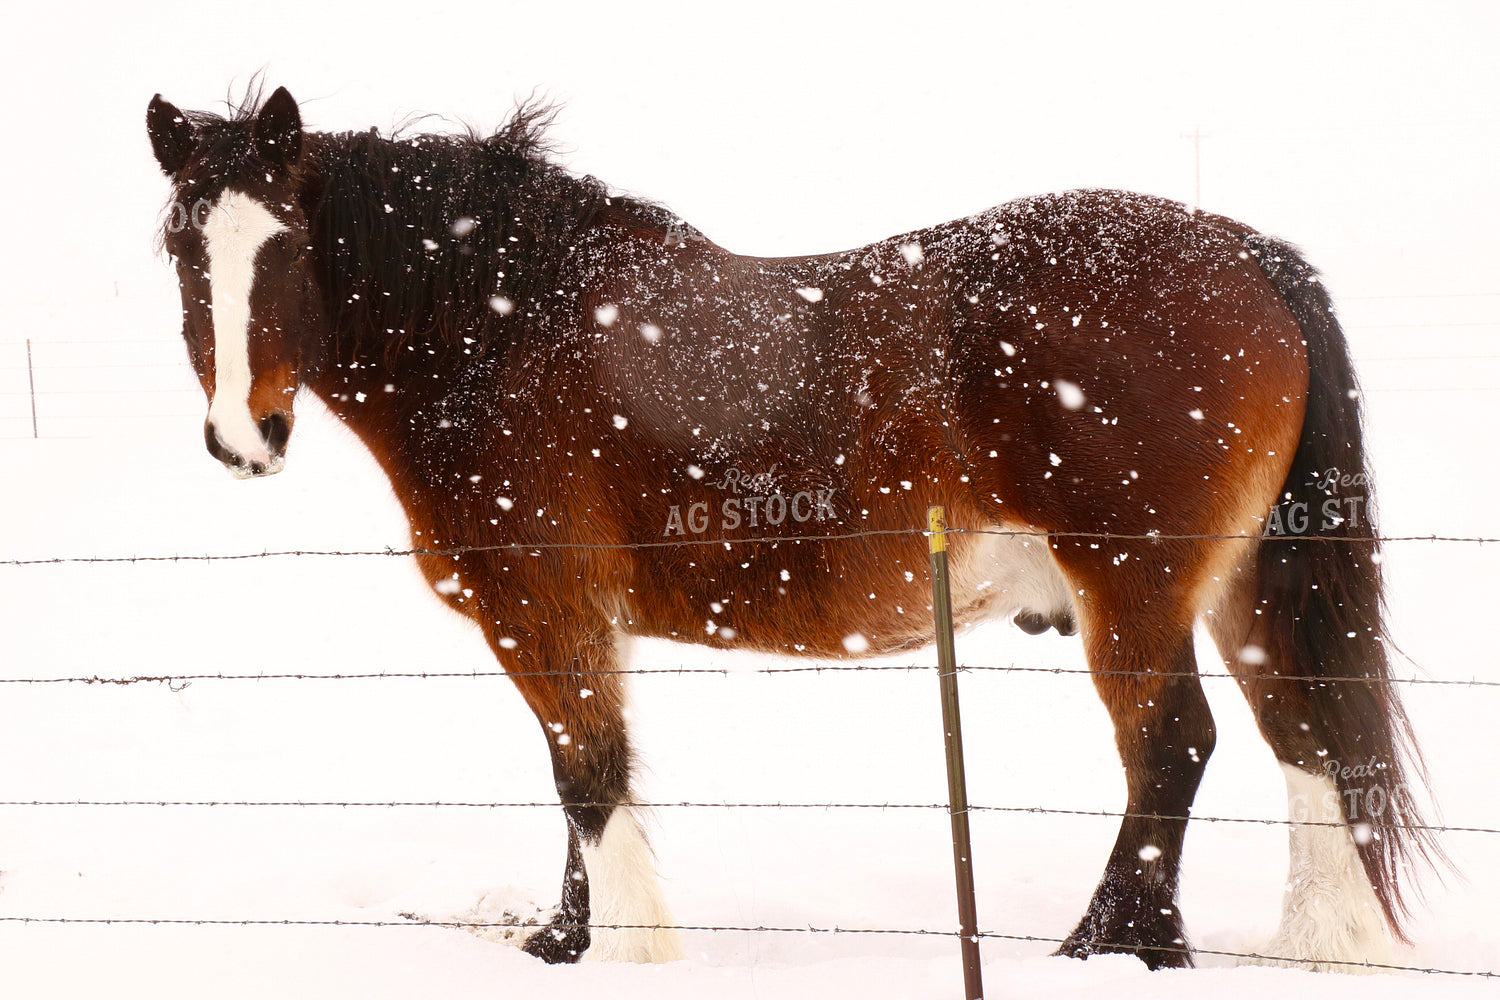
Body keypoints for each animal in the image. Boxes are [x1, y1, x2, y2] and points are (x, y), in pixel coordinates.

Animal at [145, 85, 1436, 970]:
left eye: (288, 244)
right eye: (178, 247)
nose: (244, 434)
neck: (507, 328)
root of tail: (1247, 257)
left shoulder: (539, 607)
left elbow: (587, 773)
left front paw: (634, 951)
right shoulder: (579, 619)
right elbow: (582, 777)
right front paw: (564, 944)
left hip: (1136, 591)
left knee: (1174, 745)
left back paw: (1107, 947)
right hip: (1244, 594)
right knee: (1305, 740)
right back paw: (1323, 947)